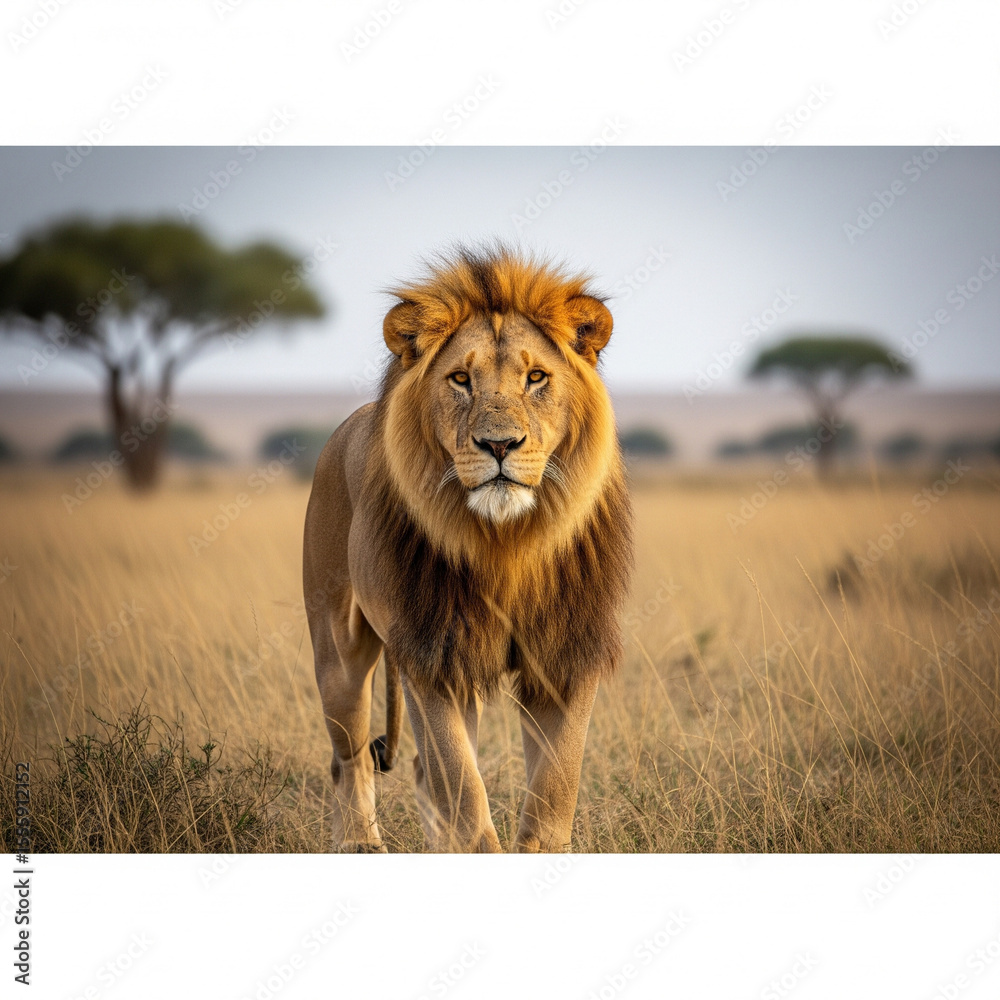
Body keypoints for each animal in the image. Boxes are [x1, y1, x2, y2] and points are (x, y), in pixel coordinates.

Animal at [303, 244, 633, 852]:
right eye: (460, 379)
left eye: (535, 377)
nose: (499, 445)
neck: (506, 543)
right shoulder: (430, 659)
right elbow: (463, 786)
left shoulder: (565, 654)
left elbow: (554, 787)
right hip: (338, 648)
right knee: (350, 757)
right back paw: (360, 842)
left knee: (418, 771)